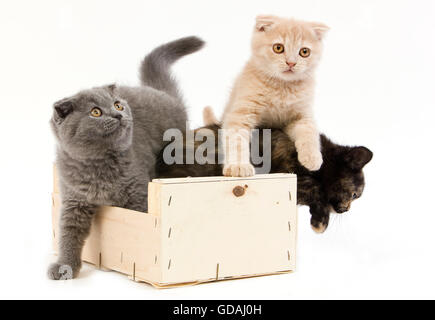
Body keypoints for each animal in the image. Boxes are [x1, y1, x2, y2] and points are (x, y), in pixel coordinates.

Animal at [48, 36, 205, 278]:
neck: (98, 165)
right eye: (95, 112)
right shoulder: (74, 199)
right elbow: (68, 232)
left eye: (117, 105)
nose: (118, 115)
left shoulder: (138, 195)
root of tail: (160, 92)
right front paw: (64, 266)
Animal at [223, 15, 328, 178]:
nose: (291, 63)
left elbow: (309, 131)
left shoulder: (300, 116)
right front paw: (238, 166)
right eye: (278, 48)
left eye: (304, 52)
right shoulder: (240, 113)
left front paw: (312, 157)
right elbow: (237, 139)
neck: (282, 88)